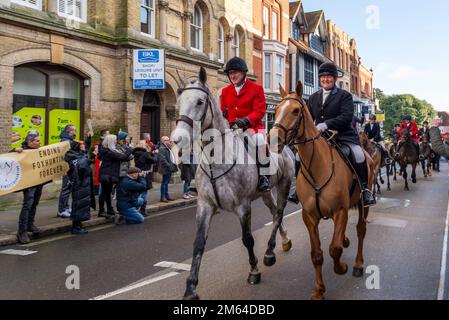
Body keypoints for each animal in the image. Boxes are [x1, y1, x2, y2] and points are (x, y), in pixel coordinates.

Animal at [173, 67, 296, 300]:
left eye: (200, 102)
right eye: (179, 101)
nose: (177, 139)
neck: (216, 160)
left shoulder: (243, 207)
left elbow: (247, 239)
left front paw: (254, 271)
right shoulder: (205, 206)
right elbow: (198, 244)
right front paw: (190, 288)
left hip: (284, 185)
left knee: (279, 212)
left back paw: (269, 253)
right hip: (266, 193)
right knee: (275, 212)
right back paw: (284, 241)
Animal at [270, 82, 374, 300]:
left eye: (296, 110)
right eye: (276, 110)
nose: (273, 139)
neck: (317, 167)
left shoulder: (340, 211)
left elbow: (334, 249)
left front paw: (341, 267)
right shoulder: (309, 217)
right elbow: (317, 254)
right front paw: (319, 290)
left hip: (363, 204)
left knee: (361, 230)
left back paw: (358, 264)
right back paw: (345, 240)